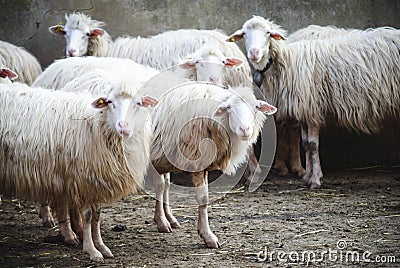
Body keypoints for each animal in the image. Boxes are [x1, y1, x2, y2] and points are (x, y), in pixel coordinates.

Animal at [0, 82, 159, 262]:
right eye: (110, 102)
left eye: (138, 103)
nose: (123, 126)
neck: (97, 124)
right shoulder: (83, 181)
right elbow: (88, 216)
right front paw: (92, 250)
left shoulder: (97, 181)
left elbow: (97, 216)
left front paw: (101, 246)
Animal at [142, 82, 276, 248]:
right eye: (229, 107)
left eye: (256, 107)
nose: (245, 130)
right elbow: (200, 197)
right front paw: (208, 236)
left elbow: (200, 197)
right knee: (161, 185)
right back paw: (163, 220)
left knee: (165, 184)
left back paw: (170, 219)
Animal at [227, 16, 400, 188]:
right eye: (244, 34)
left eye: (268, 33)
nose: (254, 53)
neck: (288, 61)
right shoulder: (304, 110)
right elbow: (305, 144)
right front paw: (307, 176)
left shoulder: (312, 109)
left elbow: (312, 145)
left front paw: (315, 179)